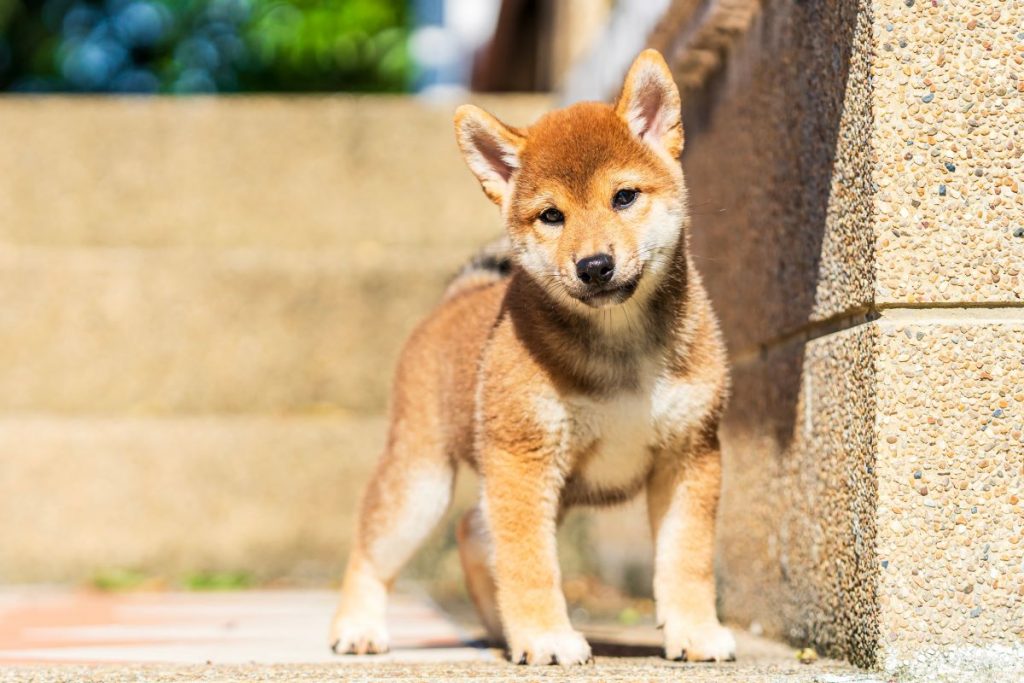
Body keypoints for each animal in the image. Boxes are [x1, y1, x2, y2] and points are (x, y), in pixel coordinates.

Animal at [329, 49, 737, 667]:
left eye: (624, 197)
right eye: (551, 216)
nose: (594, 266)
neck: (620, 345)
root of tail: (458, 297)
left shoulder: (690, 453)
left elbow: (686, 558)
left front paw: (694, 631)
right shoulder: (523, 459)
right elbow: (530, 564)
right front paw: (546, 636)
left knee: (474, 531)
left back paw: (498, 627)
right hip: (422, 479)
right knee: (376, 546)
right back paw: (358, 626)